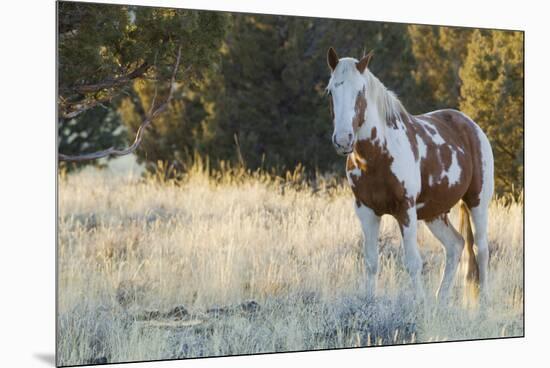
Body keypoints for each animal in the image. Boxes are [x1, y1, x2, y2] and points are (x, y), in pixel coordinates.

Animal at [328, 46, 496, 304]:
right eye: (330, 91)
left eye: (361, 91)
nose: (343, 139)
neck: (378, 156)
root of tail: (471, 126)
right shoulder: (366, 211)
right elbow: (371, 262)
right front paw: (369, 303)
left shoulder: (405, 210)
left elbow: (413, 263)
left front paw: (419, 304)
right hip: (435, 213)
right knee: (455, 245)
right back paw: (440, 301)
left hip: (477, 202)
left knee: (481, 249)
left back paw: (484, 302)